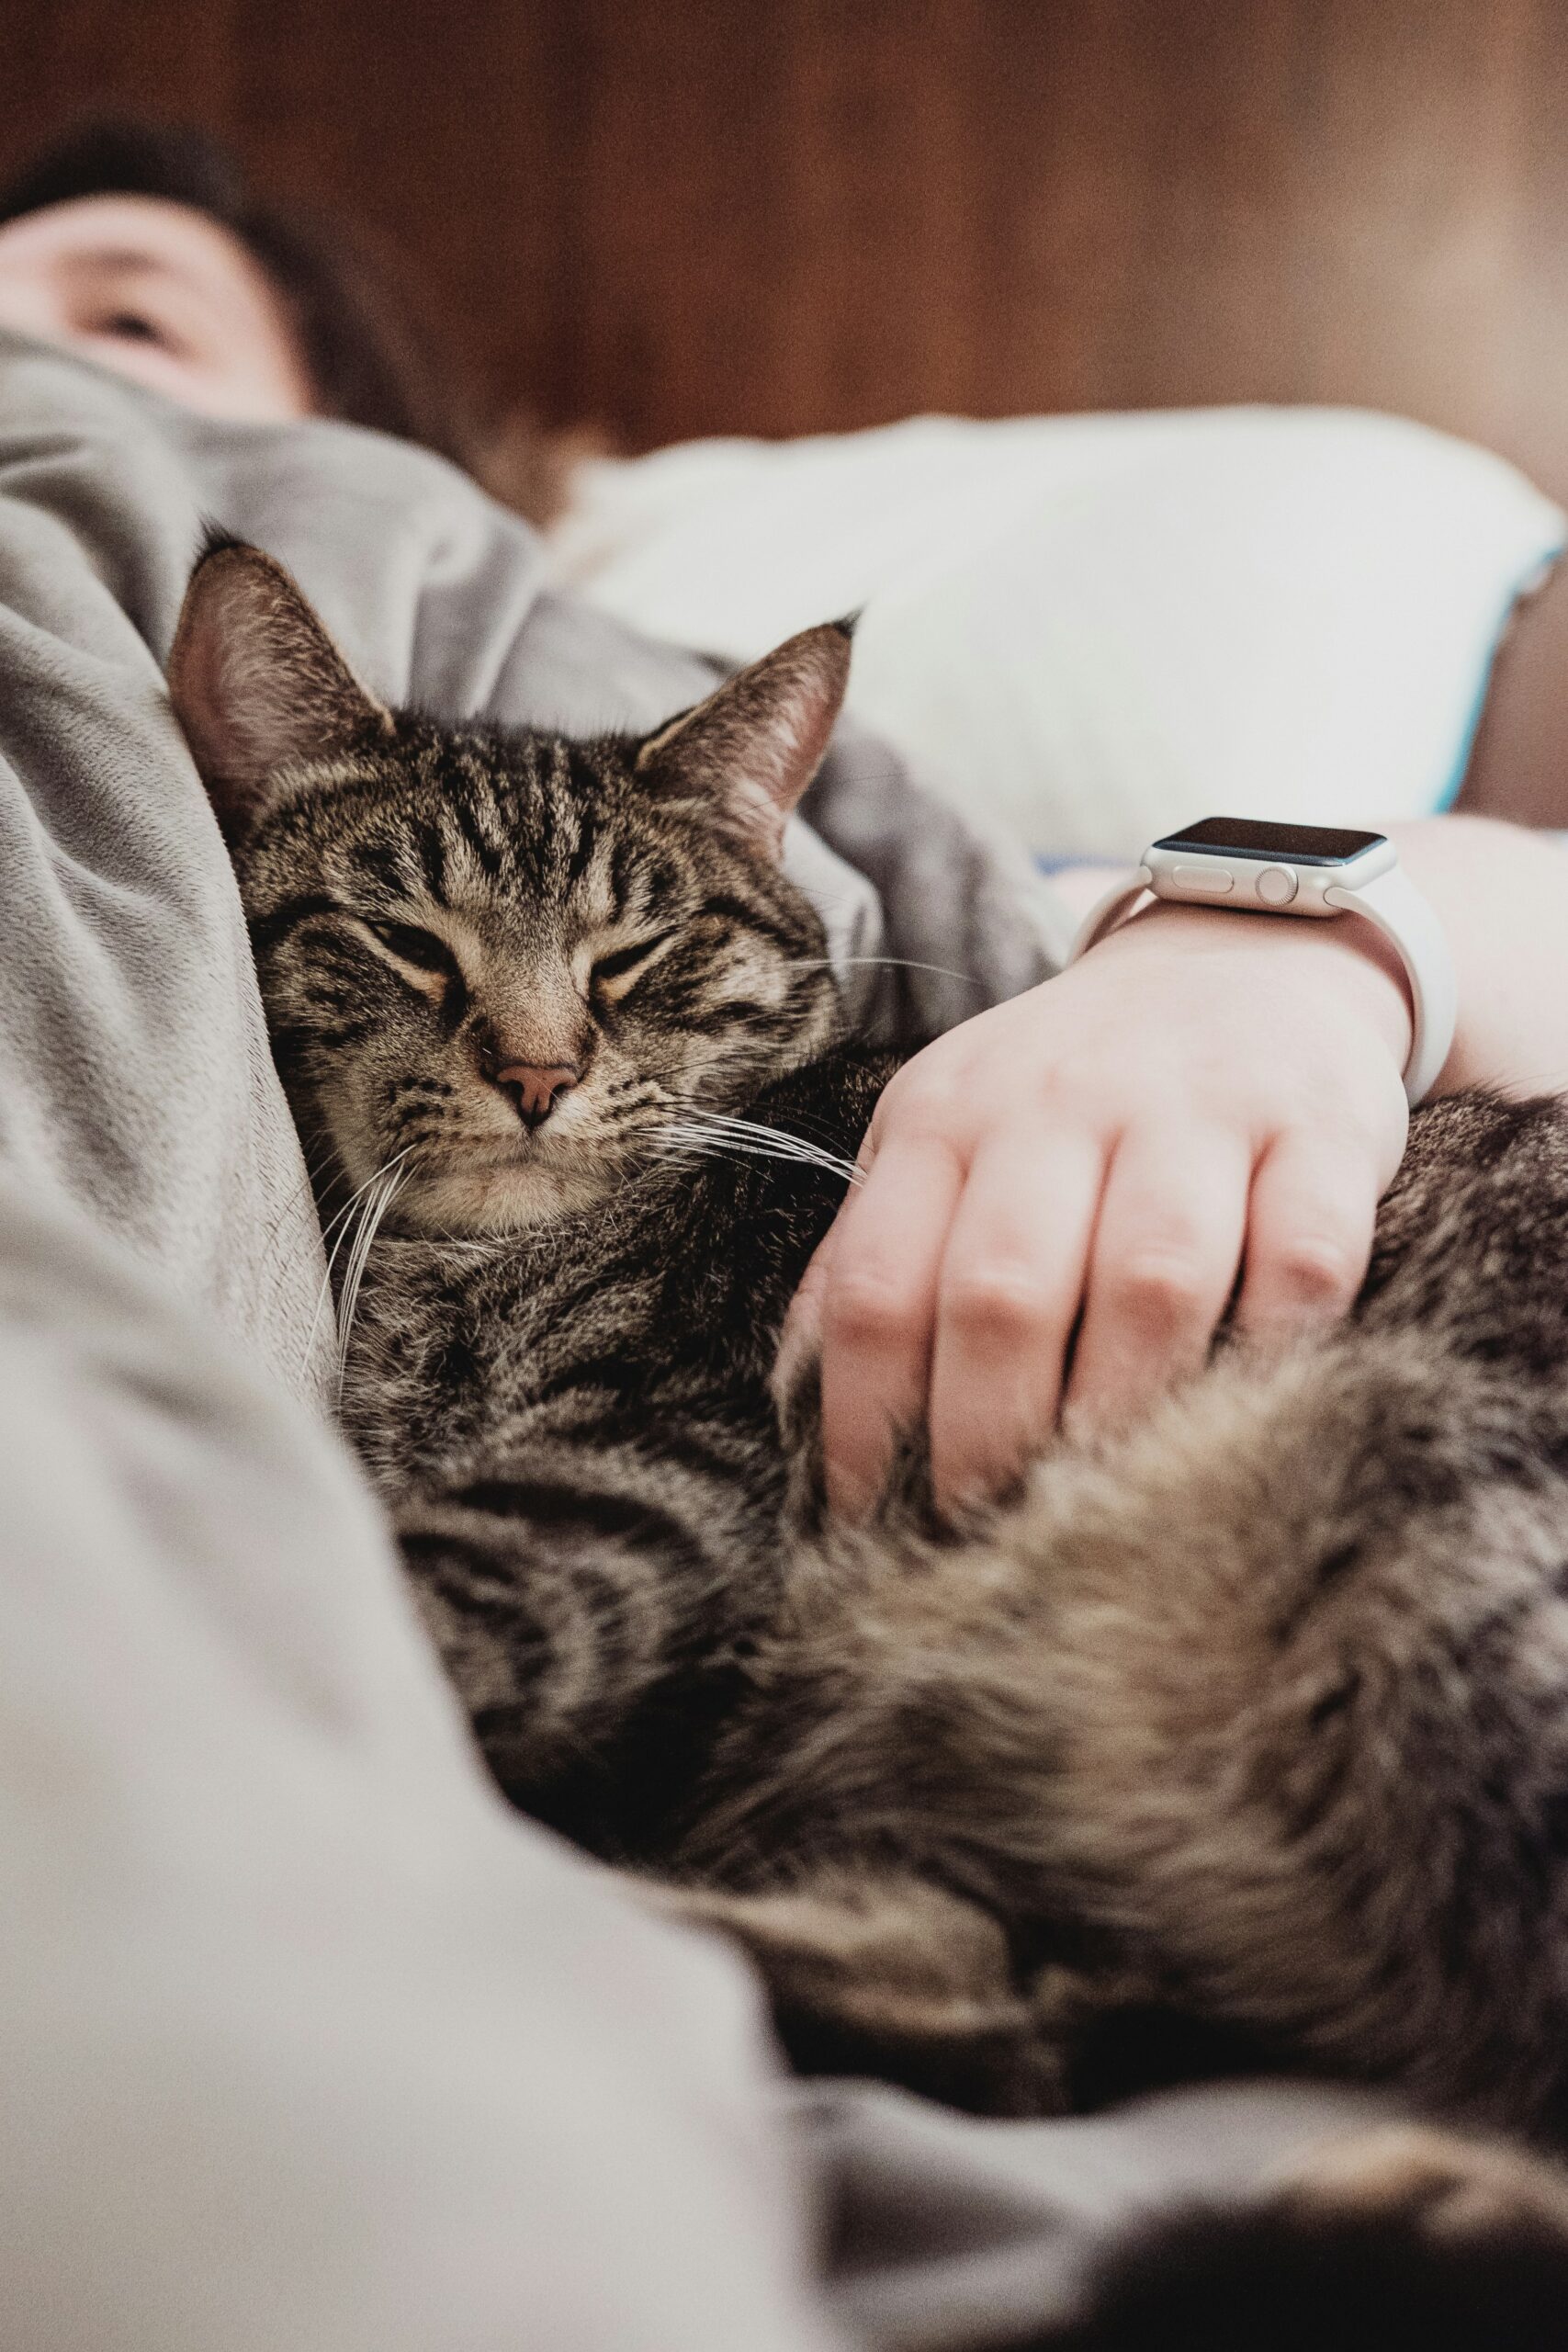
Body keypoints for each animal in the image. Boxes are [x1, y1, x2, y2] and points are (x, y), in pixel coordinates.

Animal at [175, 538, 1568, 2352]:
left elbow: (412, 1601)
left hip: (1438, 1531)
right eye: (405, 940)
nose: (538, 1072)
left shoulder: (657, 1469)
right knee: (1007, 2016)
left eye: (639, 955)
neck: (457, 1278)